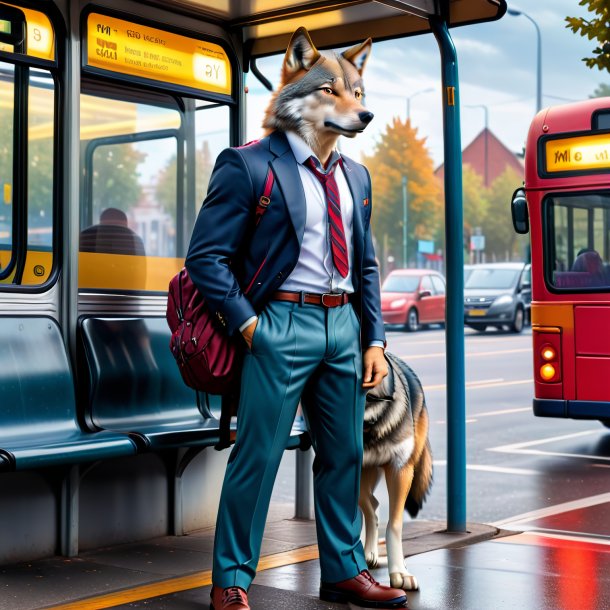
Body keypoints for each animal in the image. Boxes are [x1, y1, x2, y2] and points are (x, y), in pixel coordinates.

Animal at [183, 27, 406, 608]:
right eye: (328, 89)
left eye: (360, 90)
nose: (368, 114)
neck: (321, 162)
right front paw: (231, 591)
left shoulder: (363, 246)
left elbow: (365, 269)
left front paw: (356, 581)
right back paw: (231, 592)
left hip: (338, 387)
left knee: (342, 461)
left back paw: (355, 580)